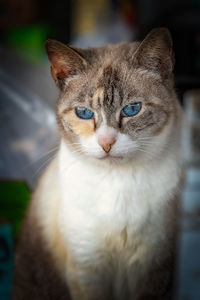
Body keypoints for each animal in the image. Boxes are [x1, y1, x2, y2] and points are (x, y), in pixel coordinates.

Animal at [13, 27, 183, 298]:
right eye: (84, 113)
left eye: (132, 109)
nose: (106, 143)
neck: (118, 182)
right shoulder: (88, 266)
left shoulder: (153, 265)